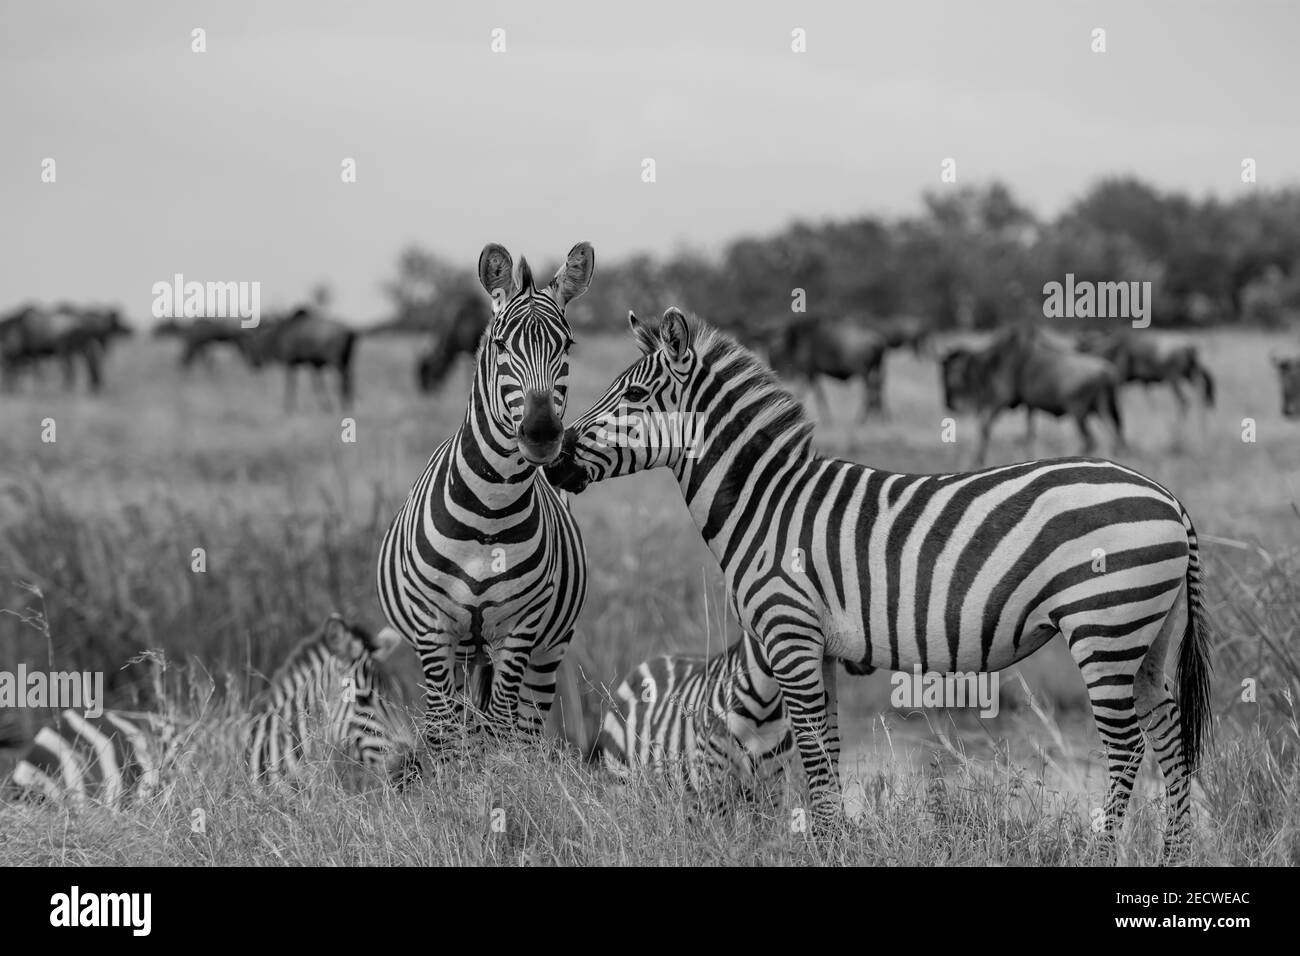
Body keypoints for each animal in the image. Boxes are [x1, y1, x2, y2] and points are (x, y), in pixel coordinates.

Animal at [376, 243, 594, 774]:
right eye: (500, 346)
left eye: (568, 346)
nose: (542, 435)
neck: (489, 514)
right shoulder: (433, 630)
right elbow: (445, 736)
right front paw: (454, 794)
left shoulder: (520, 629)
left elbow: (499, 730)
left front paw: (499, 789)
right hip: (461, 651)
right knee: (458, 723)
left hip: (546, 649)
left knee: (523, 726)